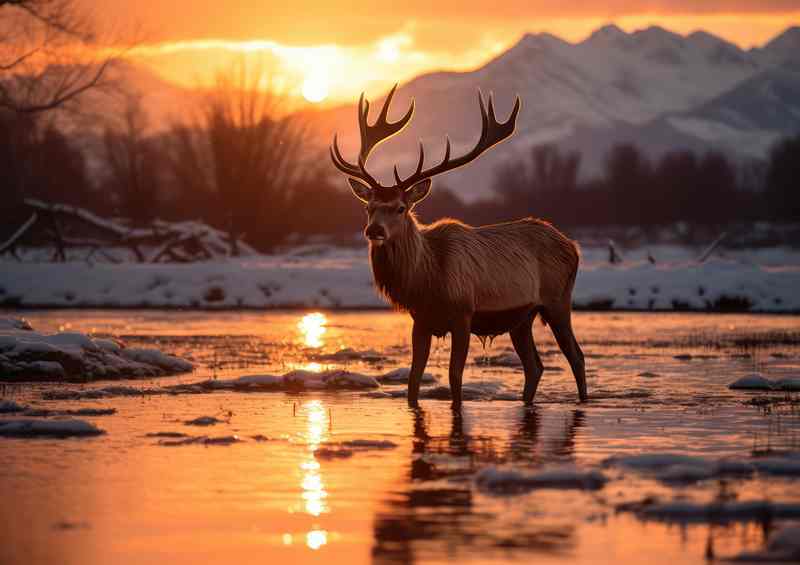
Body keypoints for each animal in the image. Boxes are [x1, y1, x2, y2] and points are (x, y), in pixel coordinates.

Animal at [330, 85, 587, 410]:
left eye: (401, 207)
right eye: (368, 207)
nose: (374, 230)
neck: (427, 281)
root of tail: (573, 247)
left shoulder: (463, 313)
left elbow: (455, 377)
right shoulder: (420, 319)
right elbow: (414, 379)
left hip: (558, 300)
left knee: (576, 356)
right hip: (522, 317)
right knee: (535, 366)